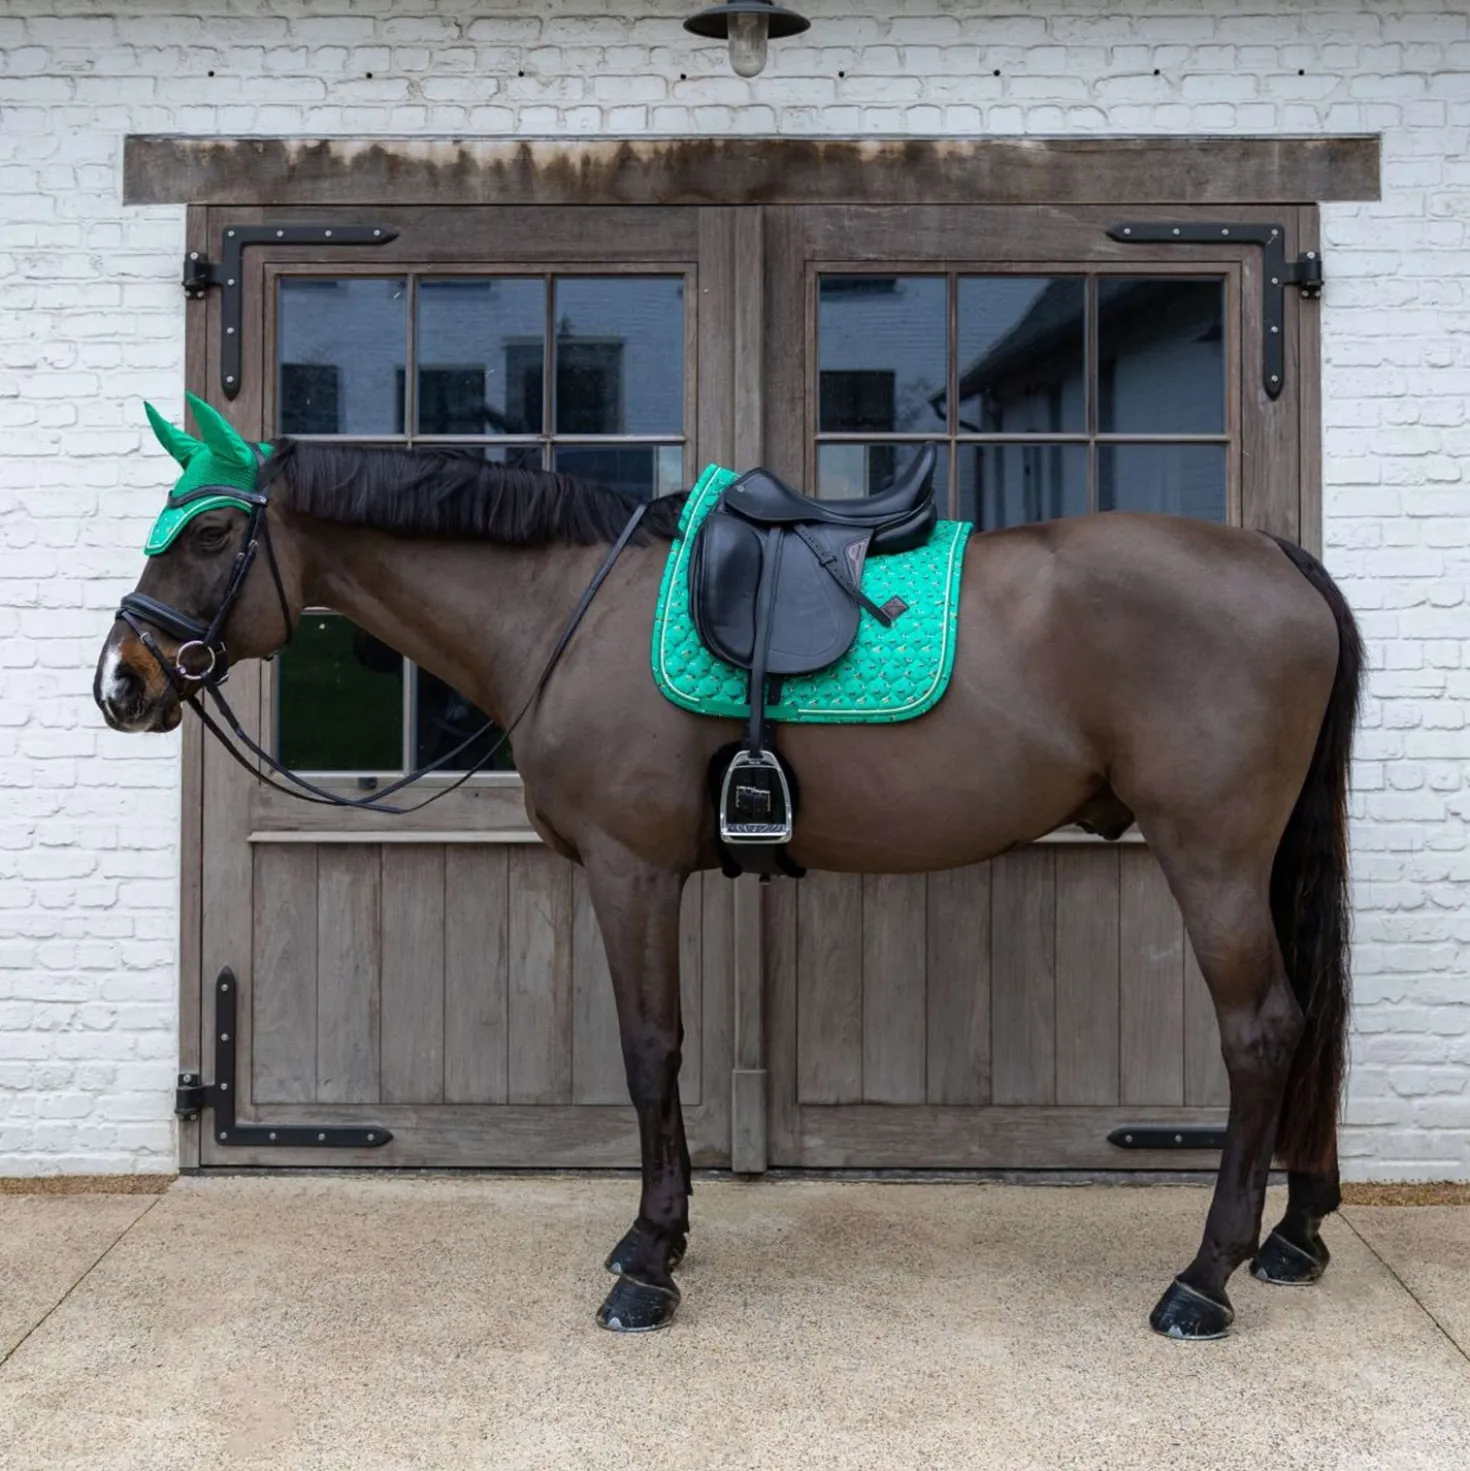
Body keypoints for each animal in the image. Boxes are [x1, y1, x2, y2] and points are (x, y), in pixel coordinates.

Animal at [95, 396, 1361, 1340]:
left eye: (209, 535)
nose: (123, 681)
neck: (565, 607)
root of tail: (1272, 554)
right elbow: (661, 1053)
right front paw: (660, 1232)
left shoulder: (632, 871)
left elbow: (651, 1049)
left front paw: (649, 1265)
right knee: (1307, 1020)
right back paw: (1296, 1234)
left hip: (1212, 857)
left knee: (1261, 1032)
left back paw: (1203, 1279)